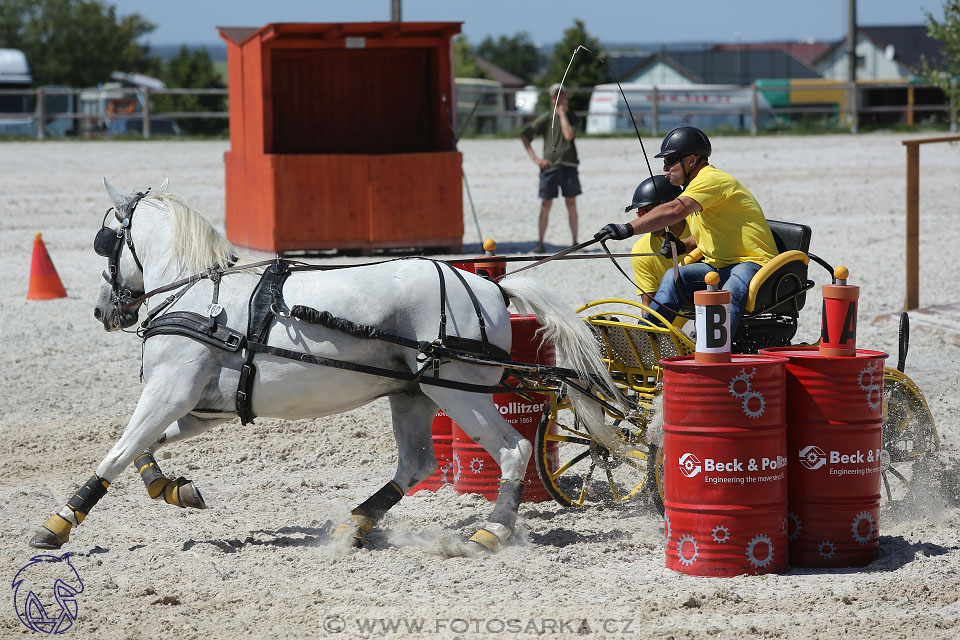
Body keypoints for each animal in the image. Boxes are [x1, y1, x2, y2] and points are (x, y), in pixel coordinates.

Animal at [30, 179, 624, 552]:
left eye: (105, 241)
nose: (103, 311)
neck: (197, 298)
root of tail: (491, 288)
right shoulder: (202, 408)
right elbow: (144, 449)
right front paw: (172, 488)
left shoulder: (168, 393)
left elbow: (117, 452)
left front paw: (59, 524)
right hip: (412, 394)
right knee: (416, 465)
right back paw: (356, 524)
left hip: (456, 390)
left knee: (513, 449)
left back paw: (491, 532)